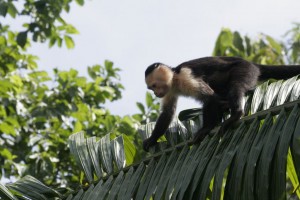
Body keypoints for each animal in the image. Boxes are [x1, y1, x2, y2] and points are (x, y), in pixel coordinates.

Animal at [142, 55, 300, 151]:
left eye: (154, 86)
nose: (155, 94)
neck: (175, 79)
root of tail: (252, 64)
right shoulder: (169, 90)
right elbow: (168, 112)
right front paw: (152, 139)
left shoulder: (186, 76)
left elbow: (210, 97)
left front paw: (206, 128)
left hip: (246, 69)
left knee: (236, 86)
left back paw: (236, 113)